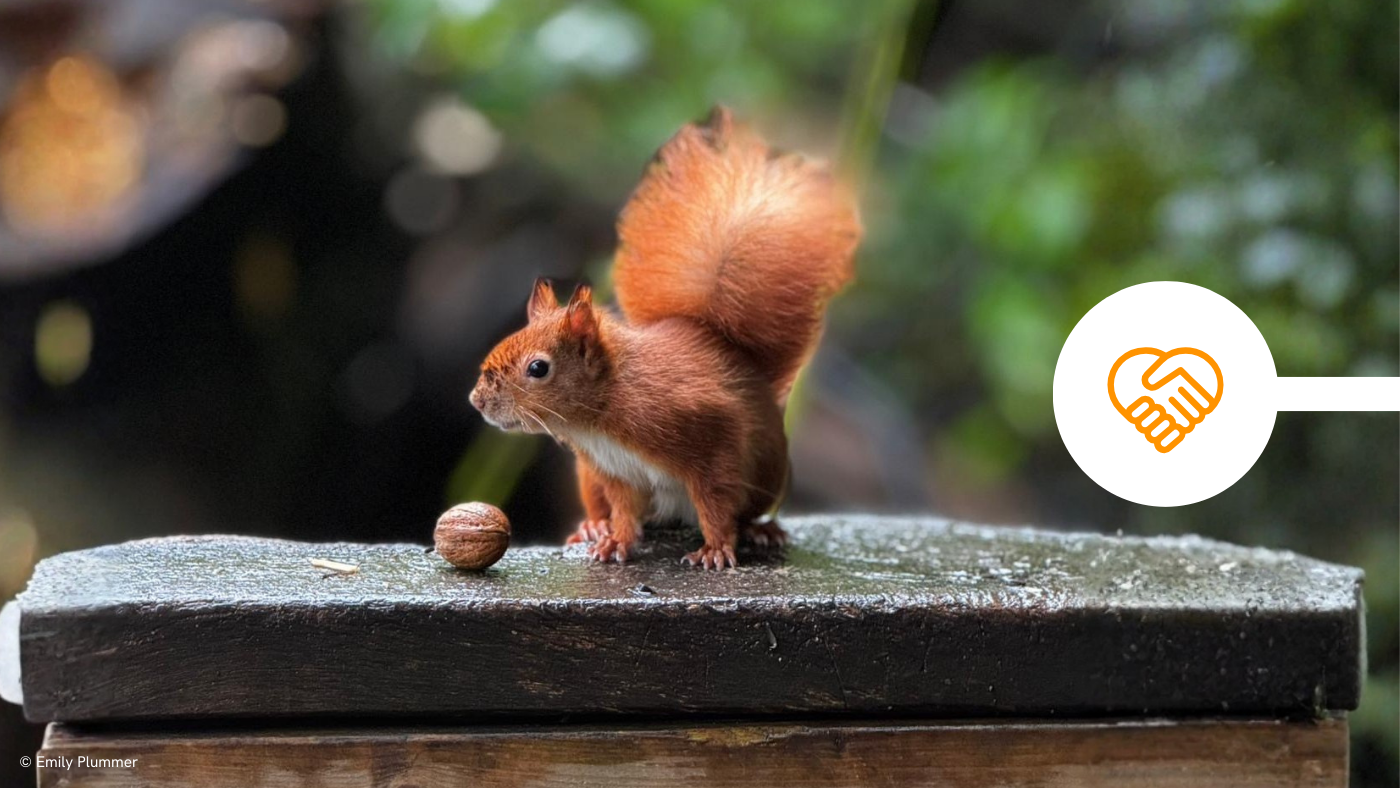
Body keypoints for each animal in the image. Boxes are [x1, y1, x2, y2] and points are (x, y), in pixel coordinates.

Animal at [469, 107, 861, 569]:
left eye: (537, 368)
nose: (477, 402)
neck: (605, 410)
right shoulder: (614, 471)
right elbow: (624, 512)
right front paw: (614, 542)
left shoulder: (710, 440)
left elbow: (715, 502)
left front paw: (716, 549)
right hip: (588, 476)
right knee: (602, 506)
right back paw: (593, 526)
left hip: (767, 472)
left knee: (742, 509)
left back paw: (760, 530)